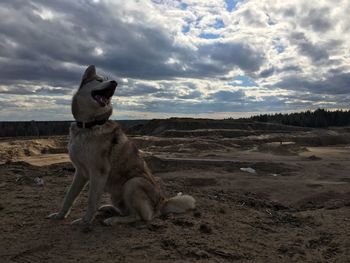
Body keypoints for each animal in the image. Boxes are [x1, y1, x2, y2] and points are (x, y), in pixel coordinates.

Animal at [46, 65, 196, 226]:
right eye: (99, 80)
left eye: (107, 80)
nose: (115, 83)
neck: (89, 125)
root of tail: (162, 202)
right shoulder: (80, 172)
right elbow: (69, 197)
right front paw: (59, 215)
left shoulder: (98, 173)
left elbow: (91, 200)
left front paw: (84, 221)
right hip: (116, 194)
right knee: (127, 211)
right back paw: (108, 209)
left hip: (132, 183)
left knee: (141, 216)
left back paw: (114, 219)